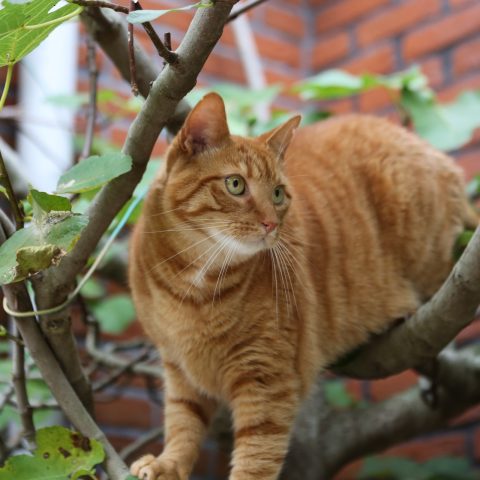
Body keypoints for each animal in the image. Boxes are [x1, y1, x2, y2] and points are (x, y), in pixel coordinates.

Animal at [128, 92, 476, 478]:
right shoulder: (178, 367)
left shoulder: (265, 379)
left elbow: (255, 457)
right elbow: (181, 421)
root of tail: (436, 154)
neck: (194, 283)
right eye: (236, 185)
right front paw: (169, 463)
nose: (270, 224)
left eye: (278, 194)